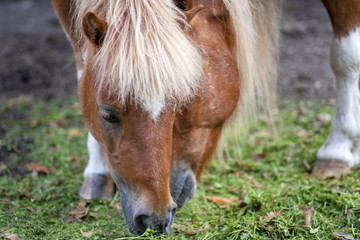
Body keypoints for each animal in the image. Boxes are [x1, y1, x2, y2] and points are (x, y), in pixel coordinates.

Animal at [51, 0, 360, 236]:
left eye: (182, 100)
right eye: (106, 113)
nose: (155, 218)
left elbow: (347, 55)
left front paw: (339, 148)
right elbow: (82, 60)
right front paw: (97, 171)